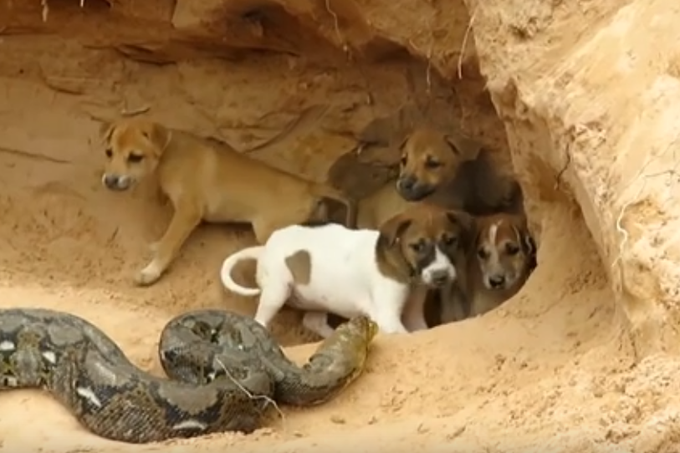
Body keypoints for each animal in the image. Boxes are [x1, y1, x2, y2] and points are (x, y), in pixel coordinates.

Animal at [101, 115, 358, 288]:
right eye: (109, 152)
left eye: (135, 157)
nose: (109, 181)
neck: (170, 153)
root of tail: (309, 185)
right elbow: (165, 240)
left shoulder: (188, 211)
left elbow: (170, 242)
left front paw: (151, 271)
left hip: (268, 230)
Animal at [218, 203, 472, 338]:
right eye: (417, 247)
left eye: (450, 241)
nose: (441, 276)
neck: (403, 268)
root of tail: (264, 248)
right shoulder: (388, 317)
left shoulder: (413, 314)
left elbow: (420, 331)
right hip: (277, 290)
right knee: (261, 320)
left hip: (318, 298)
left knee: (312, 321)